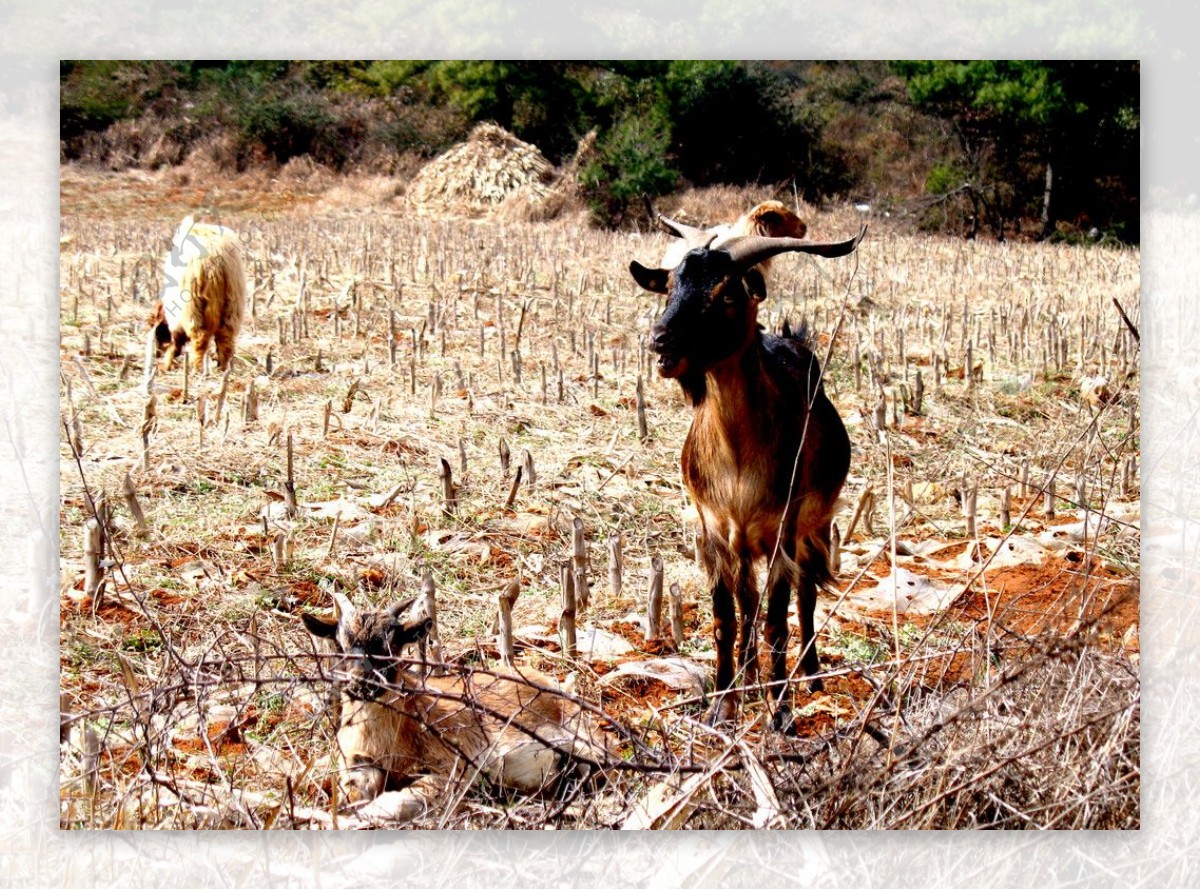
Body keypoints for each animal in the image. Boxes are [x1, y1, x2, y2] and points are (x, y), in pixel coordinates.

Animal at [152, 218, 246, 374]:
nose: (156, 354)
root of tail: (215, 260)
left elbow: (175, 343)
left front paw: (166, 365)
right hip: (232, 304)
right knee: (225, 338)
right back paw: (222, 369)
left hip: (192, 306)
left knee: (199, 339)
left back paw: (197, 368)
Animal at [628, 207, 864, 734]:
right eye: (670, 286)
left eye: (727, 293)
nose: (660, 340)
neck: (738, 462)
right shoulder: (714, 531)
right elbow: (727, 616)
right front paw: (724, 703)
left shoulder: (783, 532)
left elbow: (777, 619)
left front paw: (781, 711)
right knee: (747, 600)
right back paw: (750, 676)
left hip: (815, 526)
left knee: (805, 595)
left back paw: (809, 675)